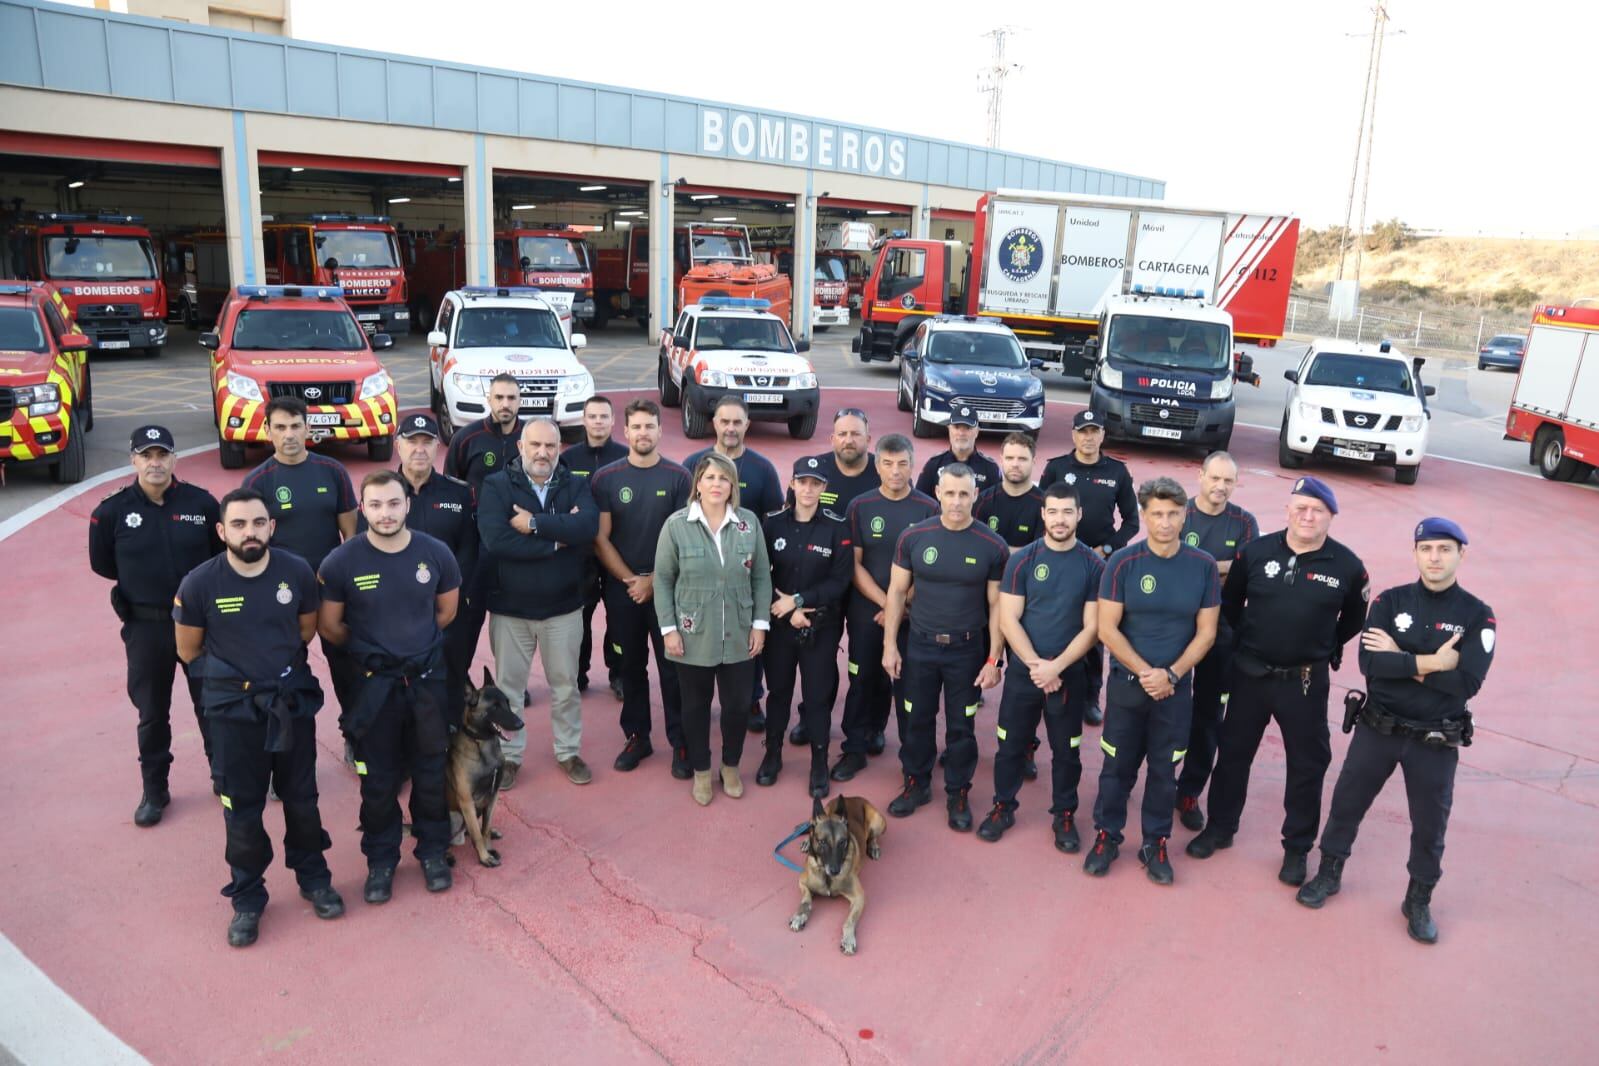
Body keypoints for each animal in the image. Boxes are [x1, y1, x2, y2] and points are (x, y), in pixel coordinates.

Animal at [447, 668, 521, 869]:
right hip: (455, 816)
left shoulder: (492, 795)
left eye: (507, 703)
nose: (521, 724)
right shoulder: (466, 802)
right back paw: (446, 855)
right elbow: (477, 835)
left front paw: (489, 847)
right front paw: (484, 856)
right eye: (494, 707)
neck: (483, 744)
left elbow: (485, 828)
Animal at [789, 792, 889, 958]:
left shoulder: (859, 897)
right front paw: (799, 916)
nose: (835, 870)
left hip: (878, 822)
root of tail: (852, 797)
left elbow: (849, 921)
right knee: (809, 828)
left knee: (873, 836)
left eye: (842, 842)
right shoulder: (802, 882)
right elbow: (805, 901)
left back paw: (873, 846)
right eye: (822, 842)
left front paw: (848, 939)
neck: (826, 875)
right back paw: (807, 842)